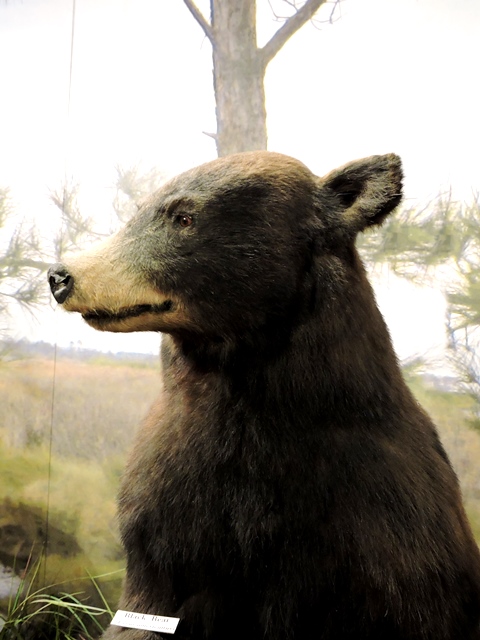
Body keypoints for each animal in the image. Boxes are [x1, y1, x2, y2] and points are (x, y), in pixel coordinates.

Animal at [48, 151, 480, 640]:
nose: (60, 275)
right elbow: (150, 601)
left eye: (184, 217)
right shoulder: (164, 507)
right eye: (138, 211)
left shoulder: (386, 527)